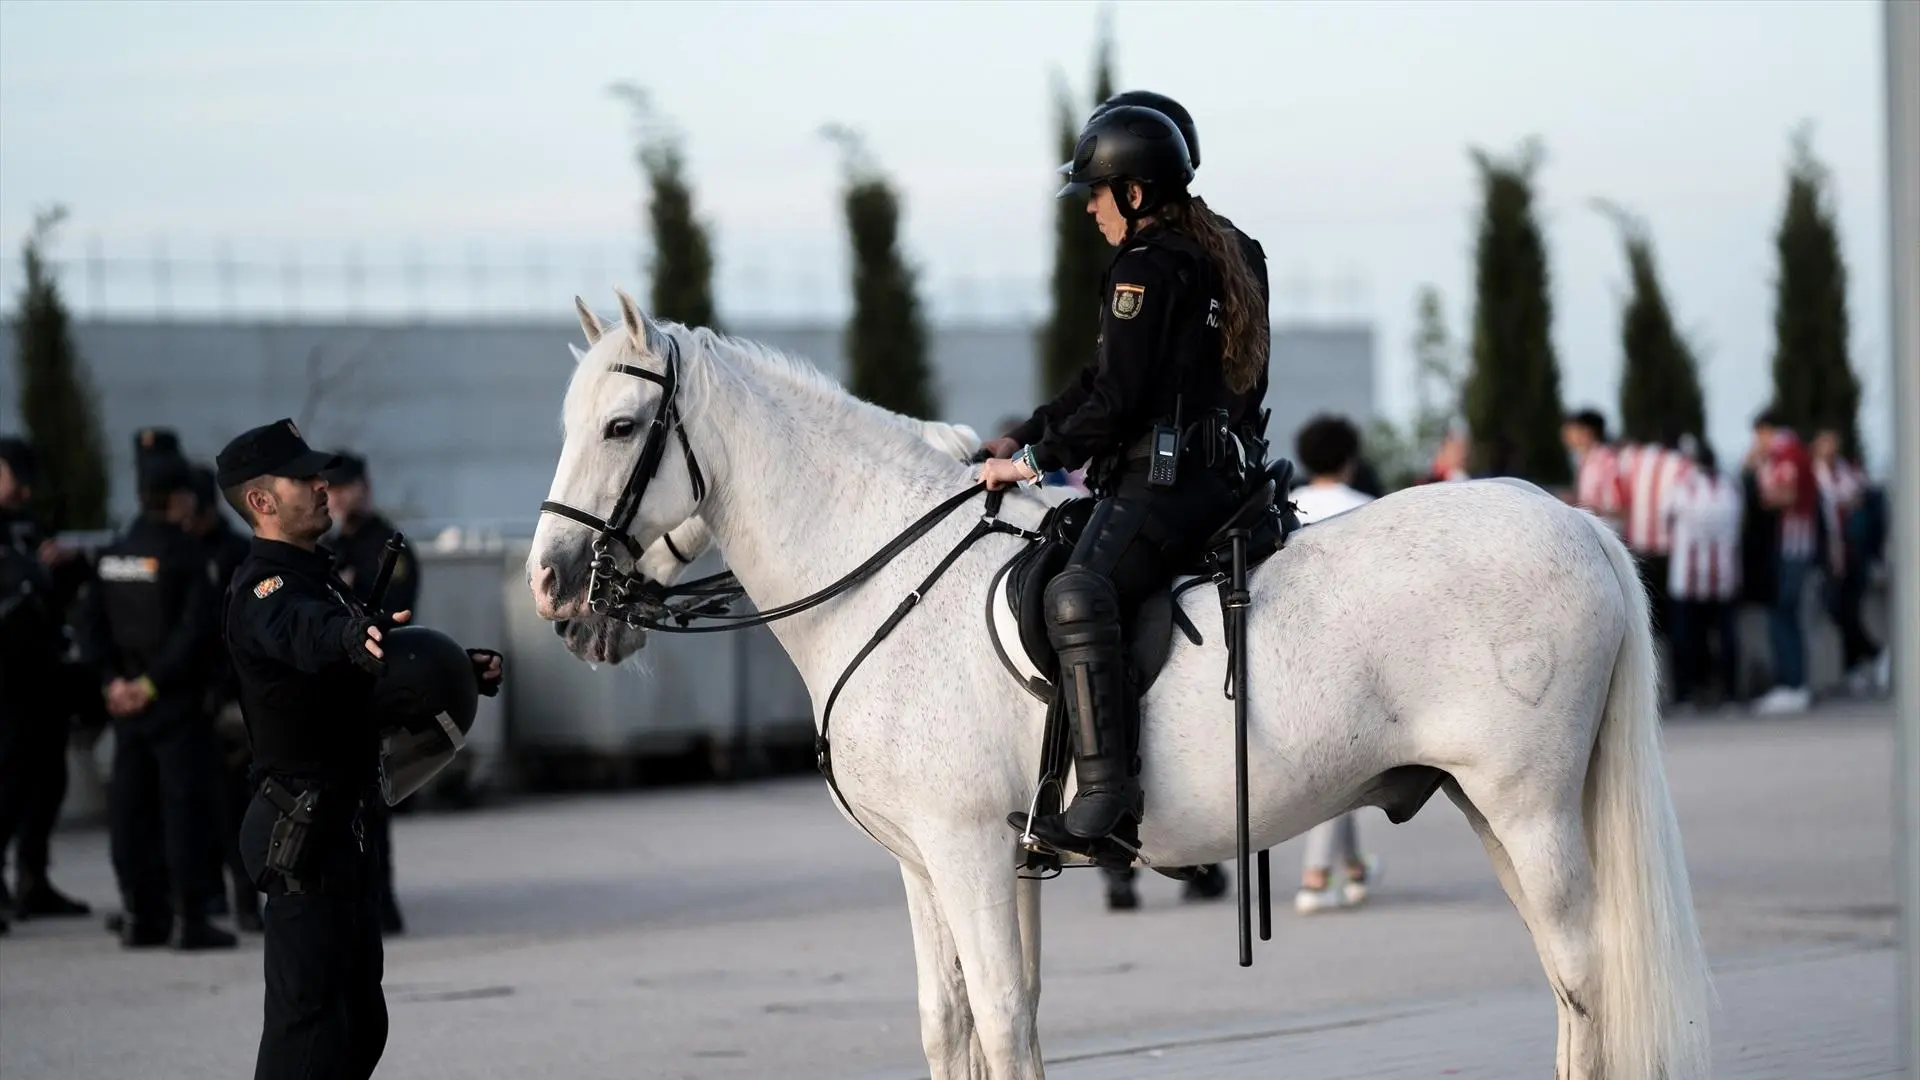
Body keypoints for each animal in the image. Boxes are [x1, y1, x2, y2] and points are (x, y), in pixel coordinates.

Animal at [527, 291, 1711, 1080]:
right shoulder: (940, 864)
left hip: (1531, 810)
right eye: (568, 425)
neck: (887, 575)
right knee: (1570, 982)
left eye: (621, 428)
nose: (550, 586)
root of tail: (1574, 520)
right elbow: (963, 1024)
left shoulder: (965, 851)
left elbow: (1004, 1018)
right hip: (1491, 811)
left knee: (1585, 973)